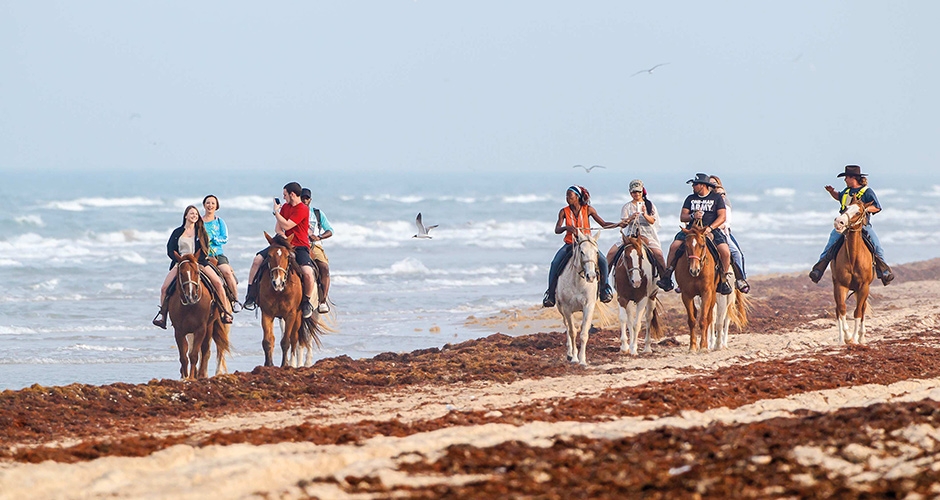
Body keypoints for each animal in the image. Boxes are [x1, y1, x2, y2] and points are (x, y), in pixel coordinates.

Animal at [167, 252, 231, 380]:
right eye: (181, 273)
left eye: (197, 272)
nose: (191, 296)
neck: (190, 306)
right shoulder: (179, 330)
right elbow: (184, 356)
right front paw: (185, 377)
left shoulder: (201, 329)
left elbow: (194, 355)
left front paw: (192, 377)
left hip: (211, 325)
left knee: (208, 349)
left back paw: (205, 374)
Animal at [255, 231, 322, 368]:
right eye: (269, 255)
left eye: (287, 256)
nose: (277, 282)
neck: (280, 291)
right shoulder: (267, 313)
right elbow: (267, 341)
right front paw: (268, 365)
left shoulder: (291, 314)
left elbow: (286, 341)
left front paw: (285, 365)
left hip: (302, 315)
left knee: (296, 338)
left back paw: (297, 363)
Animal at [560, 229, 604, 364]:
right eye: (582, 252)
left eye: (596, 252)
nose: (591, 276)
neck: (578, 282)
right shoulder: (567, 308)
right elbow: (572, 332)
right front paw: (574, 358)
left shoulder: (588, 306)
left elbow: (584, 334)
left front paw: (583, 360)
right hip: (561, 309)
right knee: (567, 326)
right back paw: (569, 353)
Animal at [676, 221, 720, 354]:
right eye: (686, 246)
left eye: (702, 245)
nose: (694, 270)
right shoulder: (686, 295)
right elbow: (691, 320)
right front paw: (692, 346)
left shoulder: (706, 293)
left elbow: (703, 320)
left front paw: (704, 346)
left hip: (713, 294)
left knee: (709, 316)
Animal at [828, 198, 872, 344]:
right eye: (846, 208)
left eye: (858, 212)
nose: (839, 222)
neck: (853, 257)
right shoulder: (841, 285)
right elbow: (842, 309)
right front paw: (847, 337)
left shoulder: (864, 287)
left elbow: (858, 312)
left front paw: (855, 338)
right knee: (838, 308)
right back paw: (841, 340)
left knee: (862, 309)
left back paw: (861, 337)